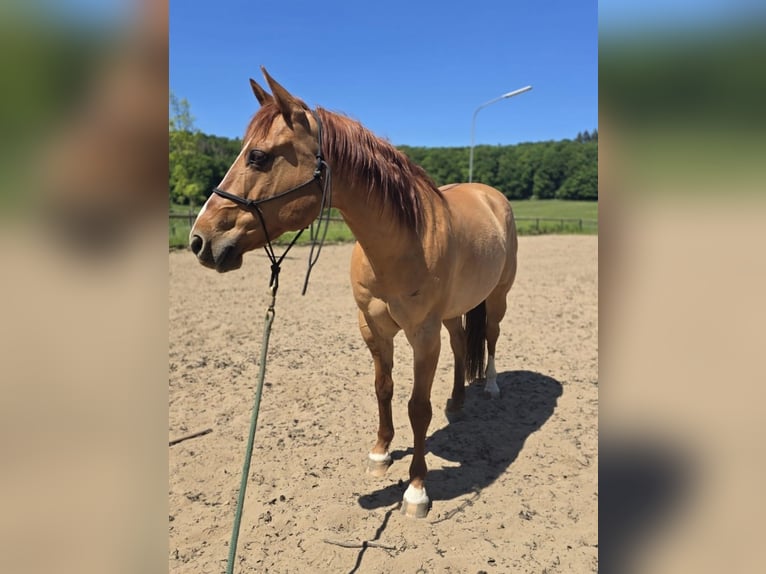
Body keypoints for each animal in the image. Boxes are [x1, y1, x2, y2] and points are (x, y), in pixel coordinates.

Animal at [189, 68, 518, 518]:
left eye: (258, 156)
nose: (200, 240)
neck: (403, 241)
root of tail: (490, 195)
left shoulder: (422, 334)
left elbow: (418, 408)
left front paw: (416, 489)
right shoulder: (372, 328)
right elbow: (384, 389)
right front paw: (380, 453)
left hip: (497, 298)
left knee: (491, 336)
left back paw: (492, 387)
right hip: (453, 312)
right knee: (460, 343)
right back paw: (457, 401)